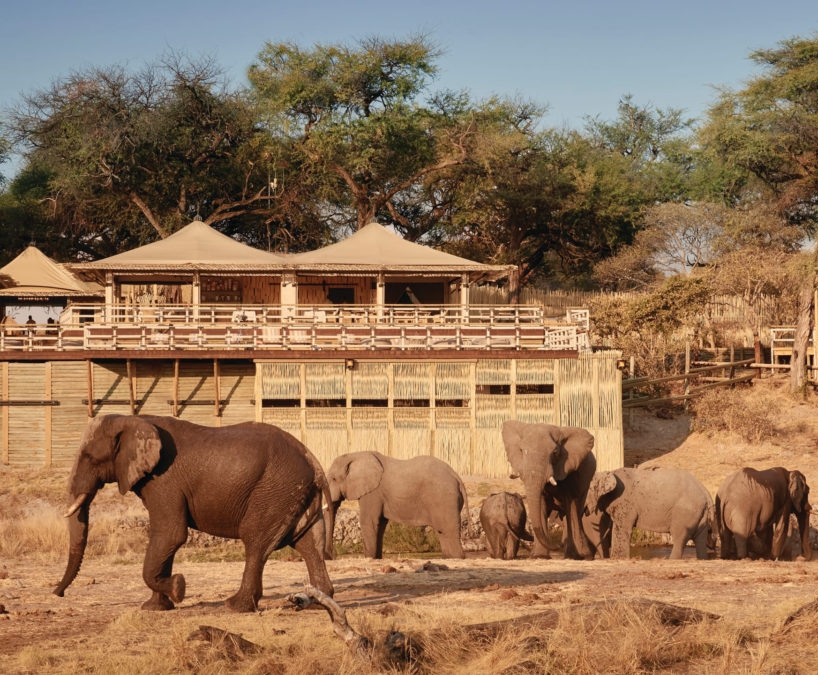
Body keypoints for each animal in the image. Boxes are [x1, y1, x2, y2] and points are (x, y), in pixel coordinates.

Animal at [53, 414, 335, 612]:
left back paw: (234, 607)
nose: (58, 594)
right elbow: (165, 539)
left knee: (255, 542)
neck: (133, 419)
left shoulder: (163, 481)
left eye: (90, 457)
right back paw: (318, 601)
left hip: (275, 490)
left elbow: (171, 534)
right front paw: (155, 608)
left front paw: (178, 588)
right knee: (309, 544)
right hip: (294, 494)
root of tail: (314, 462)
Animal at [326, 451, 468, 559]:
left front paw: (369, 558)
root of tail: (456, 476)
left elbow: (368, 521)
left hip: (444, 499)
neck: (355, 454)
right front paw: (377, 558)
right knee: (443, 533)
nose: (331, 555)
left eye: (333, 479)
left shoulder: (373, 493)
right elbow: (380, 524)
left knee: (448, 531)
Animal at [501, 420, 596, 560]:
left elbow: (571, 505)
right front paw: (539, 556)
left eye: (555, 452)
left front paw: (579, 556)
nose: (556, 546)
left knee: (575, 512)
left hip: (586, 484)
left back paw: (579, 555)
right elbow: (541, 504)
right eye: (522, 451)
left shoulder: (569, 471)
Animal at [583, 467, 715, 560]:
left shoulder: (625, 503)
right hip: (700, 513)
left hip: (685, 512)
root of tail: (706, 493)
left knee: (679, 538)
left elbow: (622, 529)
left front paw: (618, 559)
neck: (608, 472)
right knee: (700, 539)